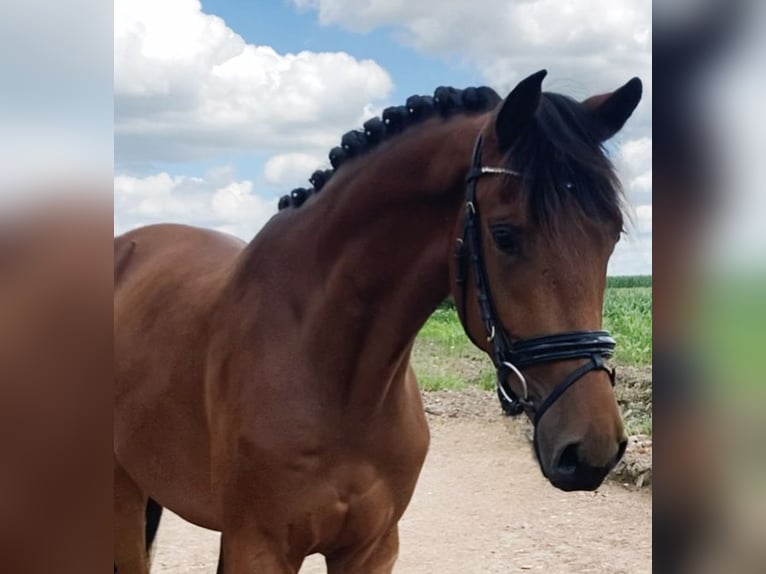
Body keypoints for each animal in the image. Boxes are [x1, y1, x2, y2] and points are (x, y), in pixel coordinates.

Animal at [114, 70, 640, 572]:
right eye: (505, 235)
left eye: (611, 235)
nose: (592, 448)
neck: (337, 379)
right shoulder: (259, 548)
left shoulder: (371, 548)